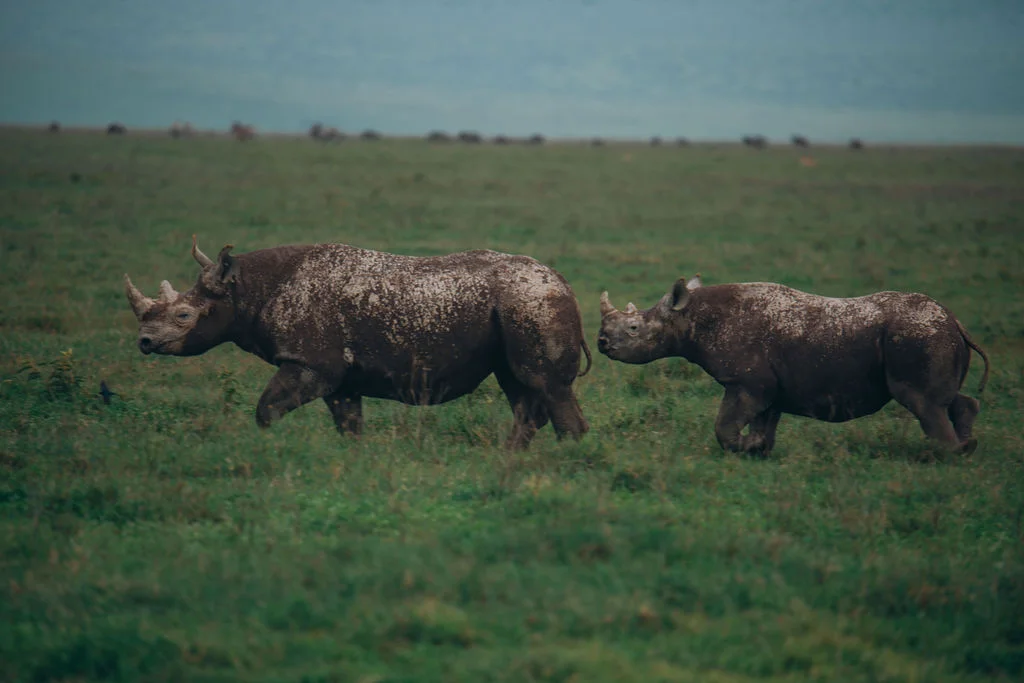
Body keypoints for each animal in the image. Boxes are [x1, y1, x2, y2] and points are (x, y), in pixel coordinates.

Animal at [125, 238, 591, 449]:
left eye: (184, 317)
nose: (145, 342)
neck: (248, 289)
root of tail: (564, 281)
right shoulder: (341, 376)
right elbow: (348, 423)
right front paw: (355, 459)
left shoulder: (311, 363)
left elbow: (266, 407)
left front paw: (266, 445)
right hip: (522, 304)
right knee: (522, 388)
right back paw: (510, 456)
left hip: (531, 301)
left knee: (547, 385)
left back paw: (564, 459)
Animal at [597, 276, 990, 456]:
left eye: (633, 330)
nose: (601, 343)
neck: (690, 316)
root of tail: (954, 321)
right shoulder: (767, 385)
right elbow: (763, 422)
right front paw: (757, 449)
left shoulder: (745, 382)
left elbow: (724, 426)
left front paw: (744, 447)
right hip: (931, 334)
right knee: (945, 399)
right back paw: (967, 446)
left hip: (916, 335)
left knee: (923, 402)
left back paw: (944, 455)